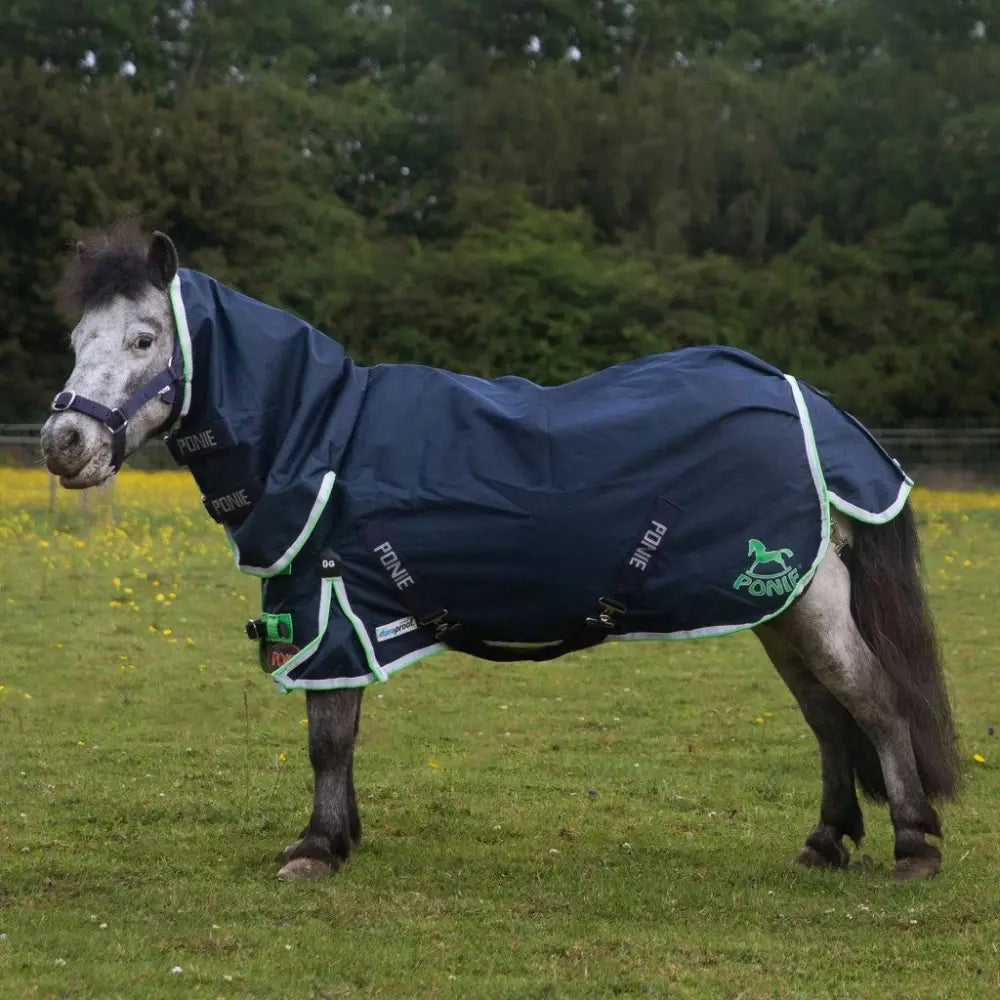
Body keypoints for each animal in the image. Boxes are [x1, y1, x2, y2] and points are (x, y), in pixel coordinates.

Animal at [40, 225, 961, 883]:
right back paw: (825, 840)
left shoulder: (332, 611)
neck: (322, 436)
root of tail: (813, 403)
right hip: (778, 604)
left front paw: (314, 848)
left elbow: (327, 736)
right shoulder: (346, 616)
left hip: (808, 601)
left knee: (873, 699)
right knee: (826, 716)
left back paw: (914, 845)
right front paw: (341, 836)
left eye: (145, 339)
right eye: (79, 339)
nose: (63, 443)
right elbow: (341, 731)